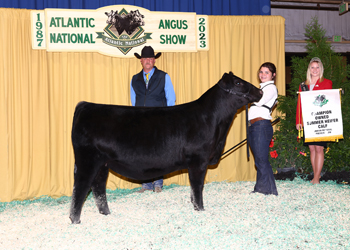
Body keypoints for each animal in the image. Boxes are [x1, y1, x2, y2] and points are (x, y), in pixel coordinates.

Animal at [69, 71, 262, 224]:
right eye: (238, 83)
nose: (260, 91)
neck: (214, 122)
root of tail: (86, 105)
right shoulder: (198, 160)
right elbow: (197, 186)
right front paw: (200, 209)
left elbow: (193, 188)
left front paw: (194, 206)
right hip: (87, 160)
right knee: (80, 187)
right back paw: (75, 220)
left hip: (103, 163)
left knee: (98, 187)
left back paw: (106, 214)